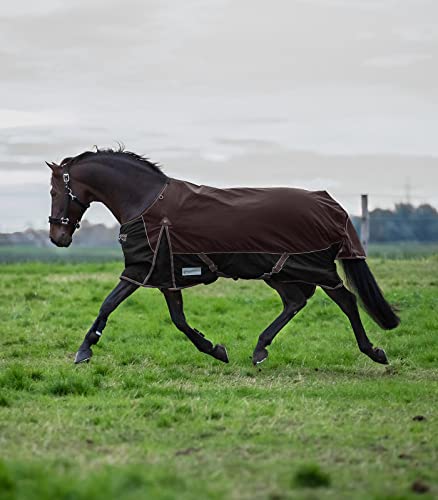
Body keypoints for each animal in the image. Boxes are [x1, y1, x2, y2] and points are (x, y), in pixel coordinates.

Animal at [48, 146, 400, 366]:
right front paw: (216, 349)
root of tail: (330, 204)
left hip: (314, 268)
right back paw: (259, 350)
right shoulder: (166, 276)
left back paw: (374, 352)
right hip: (279, 271)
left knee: (346, 301)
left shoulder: (140, 269)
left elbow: (109, 303)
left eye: (54, 191)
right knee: (296, 301)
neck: (146, 203)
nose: (57, 237)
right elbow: (178, 320)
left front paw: (83, 350)